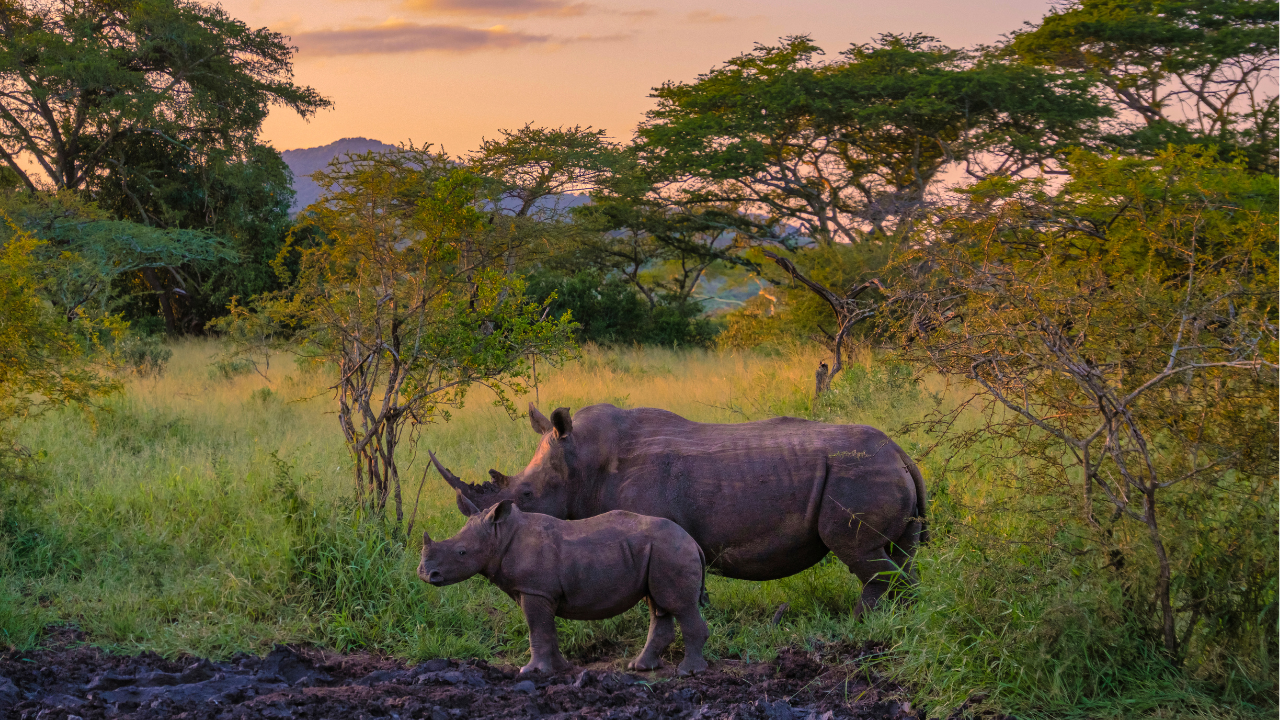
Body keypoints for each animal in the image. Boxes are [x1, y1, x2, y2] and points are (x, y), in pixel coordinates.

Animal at [419, 498, 710, 676]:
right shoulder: (540, 592)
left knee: (679, 606)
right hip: (660, 551)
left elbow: (537, 629)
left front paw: (531, 671)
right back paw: (640, 668)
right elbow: (546, 630)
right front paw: (559, 669)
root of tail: (694, 542)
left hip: (670, 550)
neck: (500, 535)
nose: (425, 574)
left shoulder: (534, 590)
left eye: (462, 552)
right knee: (658, 605)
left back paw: (688, 672)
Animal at [432, 403, 927, 614]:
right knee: (897, 555)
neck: (583, 460)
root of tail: (901, 453)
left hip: (856, 473)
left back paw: (865, 620)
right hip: (875, 470)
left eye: (528, 497)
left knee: (859, 552)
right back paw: (898, 617)